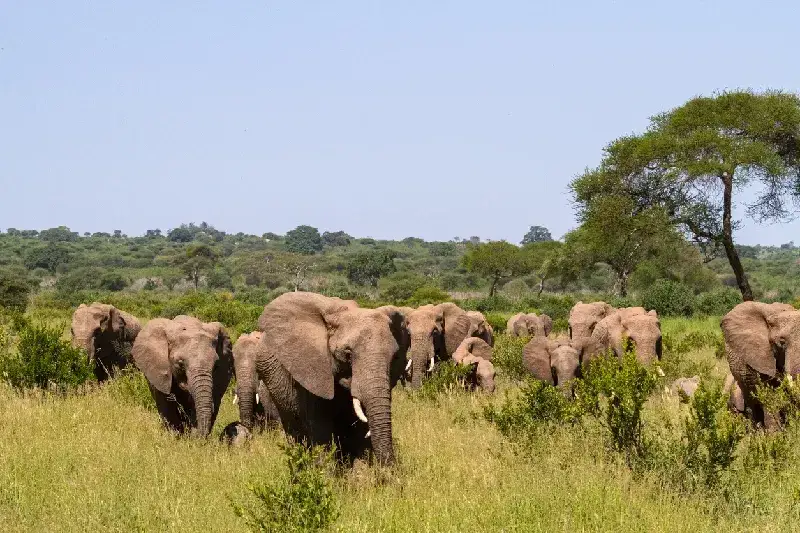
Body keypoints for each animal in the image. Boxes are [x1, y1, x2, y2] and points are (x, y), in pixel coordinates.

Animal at [254, 292, 410, 466]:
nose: (391, 469)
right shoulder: (313, 372)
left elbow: (357, 430)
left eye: (395, 357)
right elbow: (321, 428)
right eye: (347, 355)